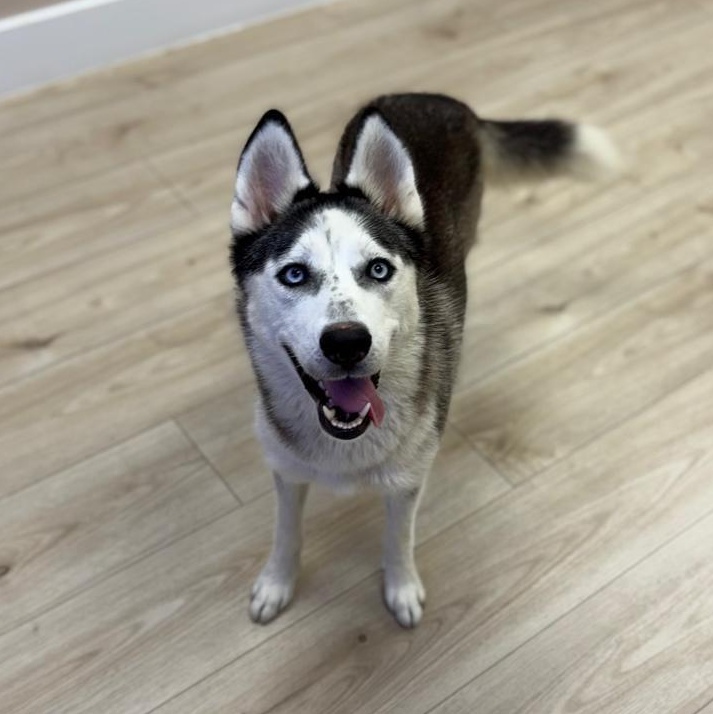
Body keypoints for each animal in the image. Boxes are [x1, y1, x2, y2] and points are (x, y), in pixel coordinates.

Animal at [229, 93, 618, 627]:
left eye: (378, 269)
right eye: (293, 274)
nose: (347, 342)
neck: (346, 447)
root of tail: (437, 99)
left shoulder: (407, 483)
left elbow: (399, 539)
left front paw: (402, 588)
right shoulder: (286, 470)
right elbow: (286, 531)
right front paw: (277, 583)